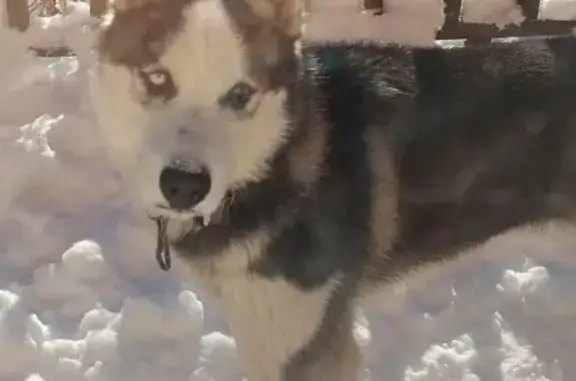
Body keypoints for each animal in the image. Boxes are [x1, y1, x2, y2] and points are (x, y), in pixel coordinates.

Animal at [90, 0, 576, 378]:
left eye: (241, 94)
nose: (184, 185)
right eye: (156, 78)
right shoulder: (262, 326)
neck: (274, 170)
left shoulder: (308, 344)